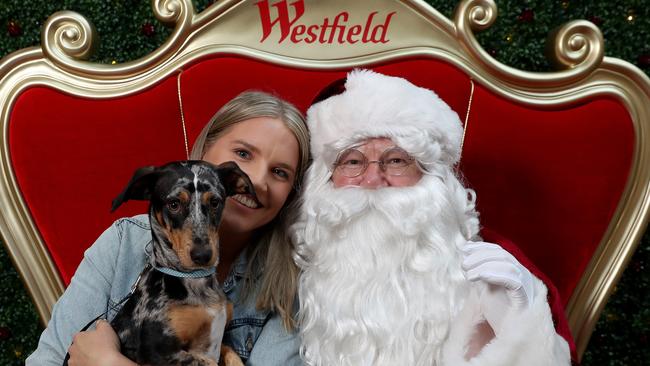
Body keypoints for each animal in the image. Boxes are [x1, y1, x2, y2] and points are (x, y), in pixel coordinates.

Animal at [107, 160, 252, 366]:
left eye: (215, 202)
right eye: (174, 204)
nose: (203, 255)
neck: (196, 280)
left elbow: (232, 353)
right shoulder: (156, 350)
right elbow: (206, 362)